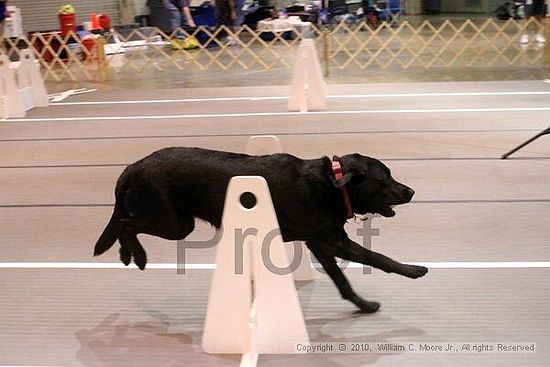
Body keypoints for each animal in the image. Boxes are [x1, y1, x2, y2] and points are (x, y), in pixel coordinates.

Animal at [95, 147, 430, 314]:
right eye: (384, 178)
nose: (412, 191)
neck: (331, 185)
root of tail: (134, 166)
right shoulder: (334, 242)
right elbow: (379, 258)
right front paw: (414, 270)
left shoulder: (320, 243)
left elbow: (342, 282)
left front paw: (364, 305)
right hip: (175, 223)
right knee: (126, 223)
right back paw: (134, 255)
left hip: (174, 221)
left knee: (126, 221)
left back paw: (128, 254)